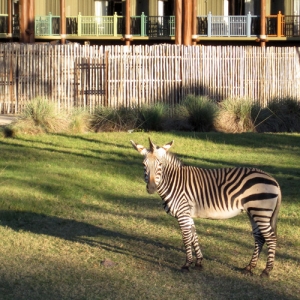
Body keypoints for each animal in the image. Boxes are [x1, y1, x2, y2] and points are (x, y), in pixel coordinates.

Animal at [131, 138, 282, 276]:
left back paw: (266, 270)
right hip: (253, 212)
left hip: (260, 211)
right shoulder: (187, 214)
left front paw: (187, 264)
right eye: (144, 164)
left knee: (270, 237)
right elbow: (193, 236)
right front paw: (198, 262)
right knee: (259, 237)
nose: (151, 188)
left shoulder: (182, 213)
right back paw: (249, 267)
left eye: (160, 164)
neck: (174, 182)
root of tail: (273, 179)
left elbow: (186, 238)